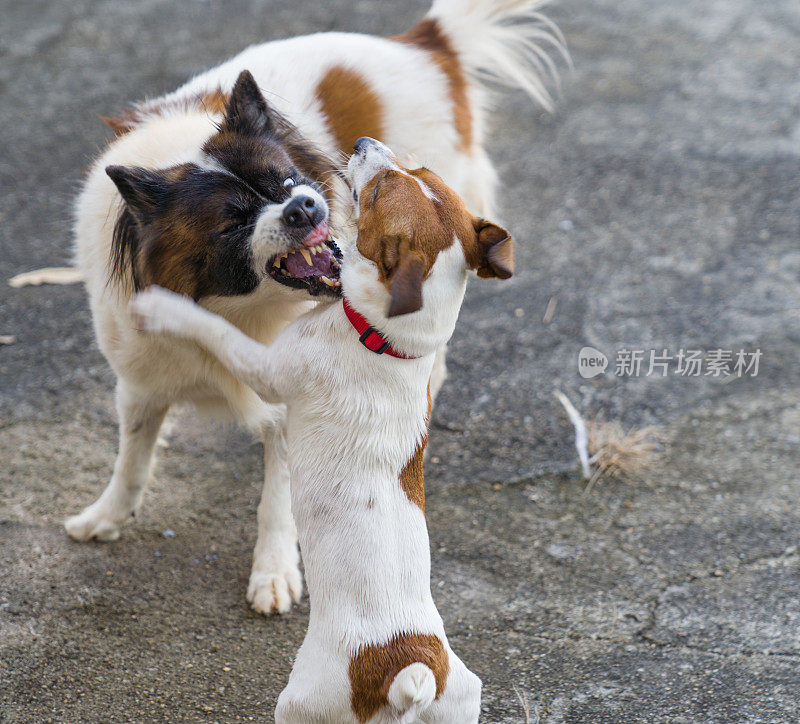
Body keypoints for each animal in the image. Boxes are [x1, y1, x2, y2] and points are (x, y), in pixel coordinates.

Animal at [65, 0, 564, 612]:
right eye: (232, 220)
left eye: (287, 180)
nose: (304, 205)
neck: (233, 307)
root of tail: (426, 42)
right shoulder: (142, 380)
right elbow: (132, 458)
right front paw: (107, 517)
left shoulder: (288, 399)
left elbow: (278, 496)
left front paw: (274, 570)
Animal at [128, 139, 516, 720]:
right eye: (419, 172)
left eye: (377, 193)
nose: (363, 144)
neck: (388, 343)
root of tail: (407, 666)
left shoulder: (267, 370)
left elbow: (215, 330)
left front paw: (165, 307)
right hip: (463, 699)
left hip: (300, 701)